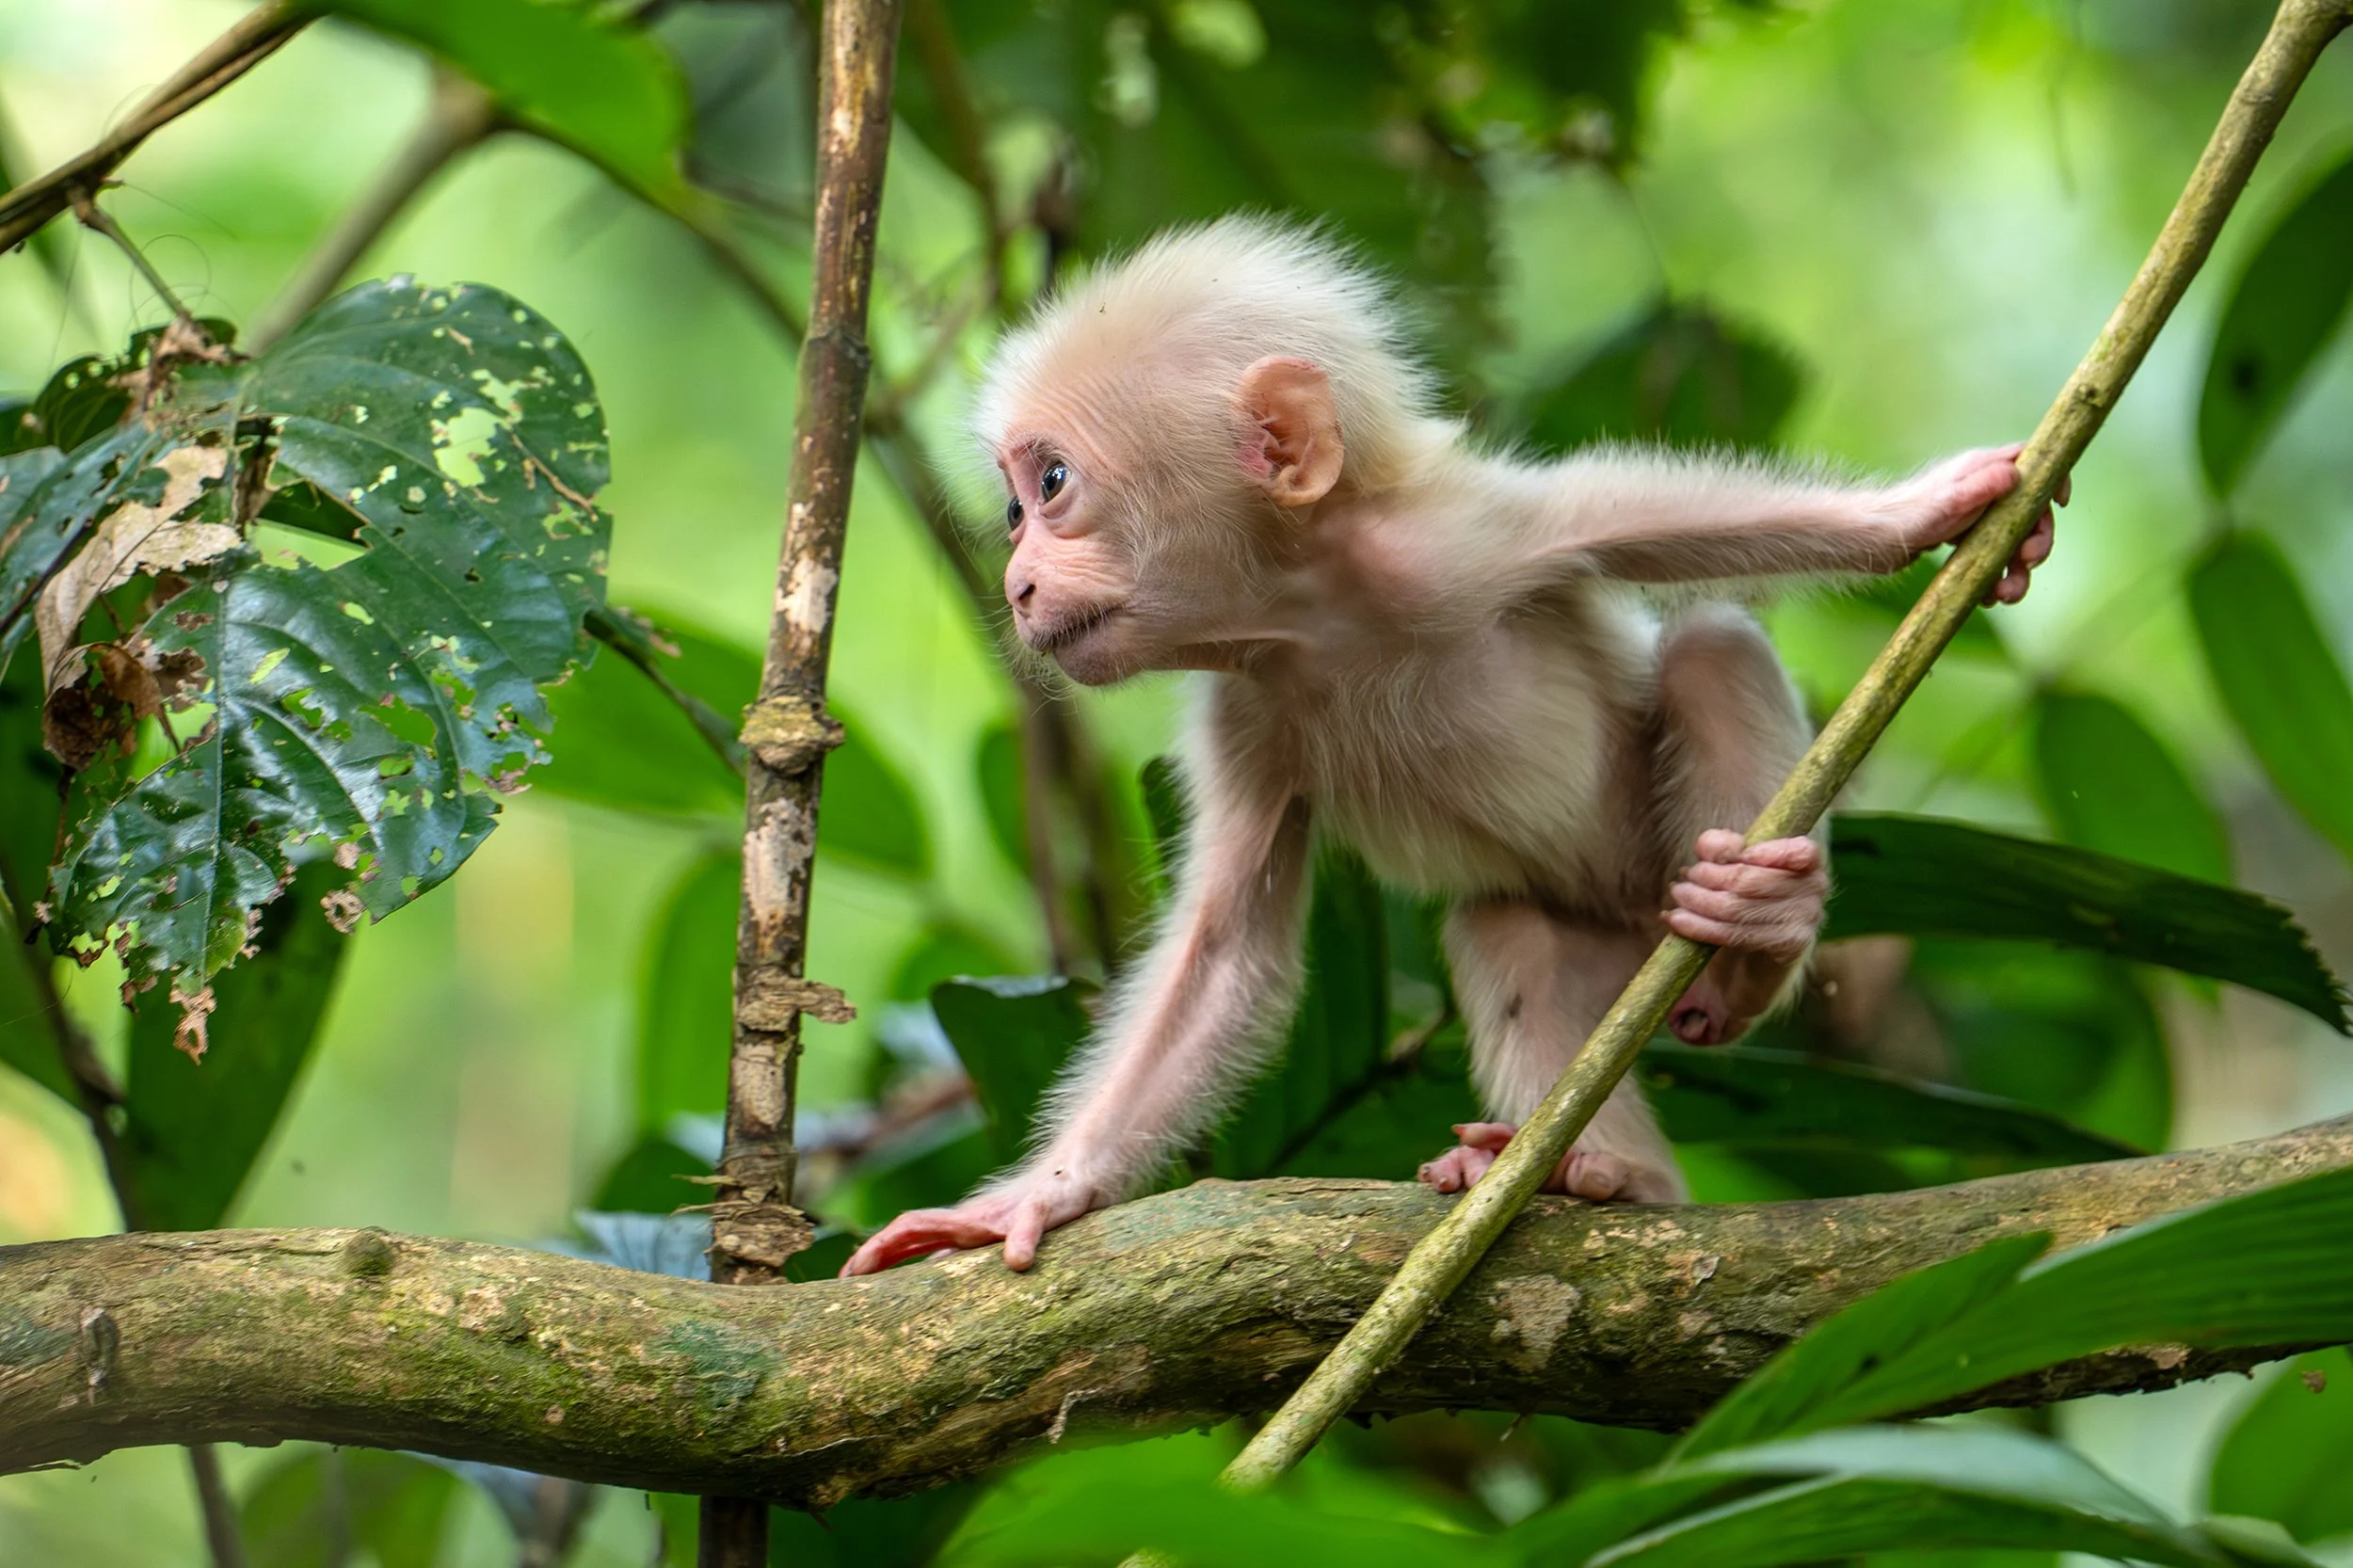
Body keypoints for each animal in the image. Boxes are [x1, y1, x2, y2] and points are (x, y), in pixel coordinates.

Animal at [840, 216, 2061, 1277]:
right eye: (1011, 512)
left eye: (1050, 486)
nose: (1016, 583)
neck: (1315, 616)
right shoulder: (1242, 716)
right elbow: (1227, 953)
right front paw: (1035, 1194)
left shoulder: (1457, 543)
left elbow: (1642, 515)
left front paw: (1924, 514)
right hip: (1601, 949)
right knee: (1506, 934)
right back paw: (1608, 1175)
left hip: (1672, 877)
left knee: (1713, 648)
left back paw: (1756, 941)